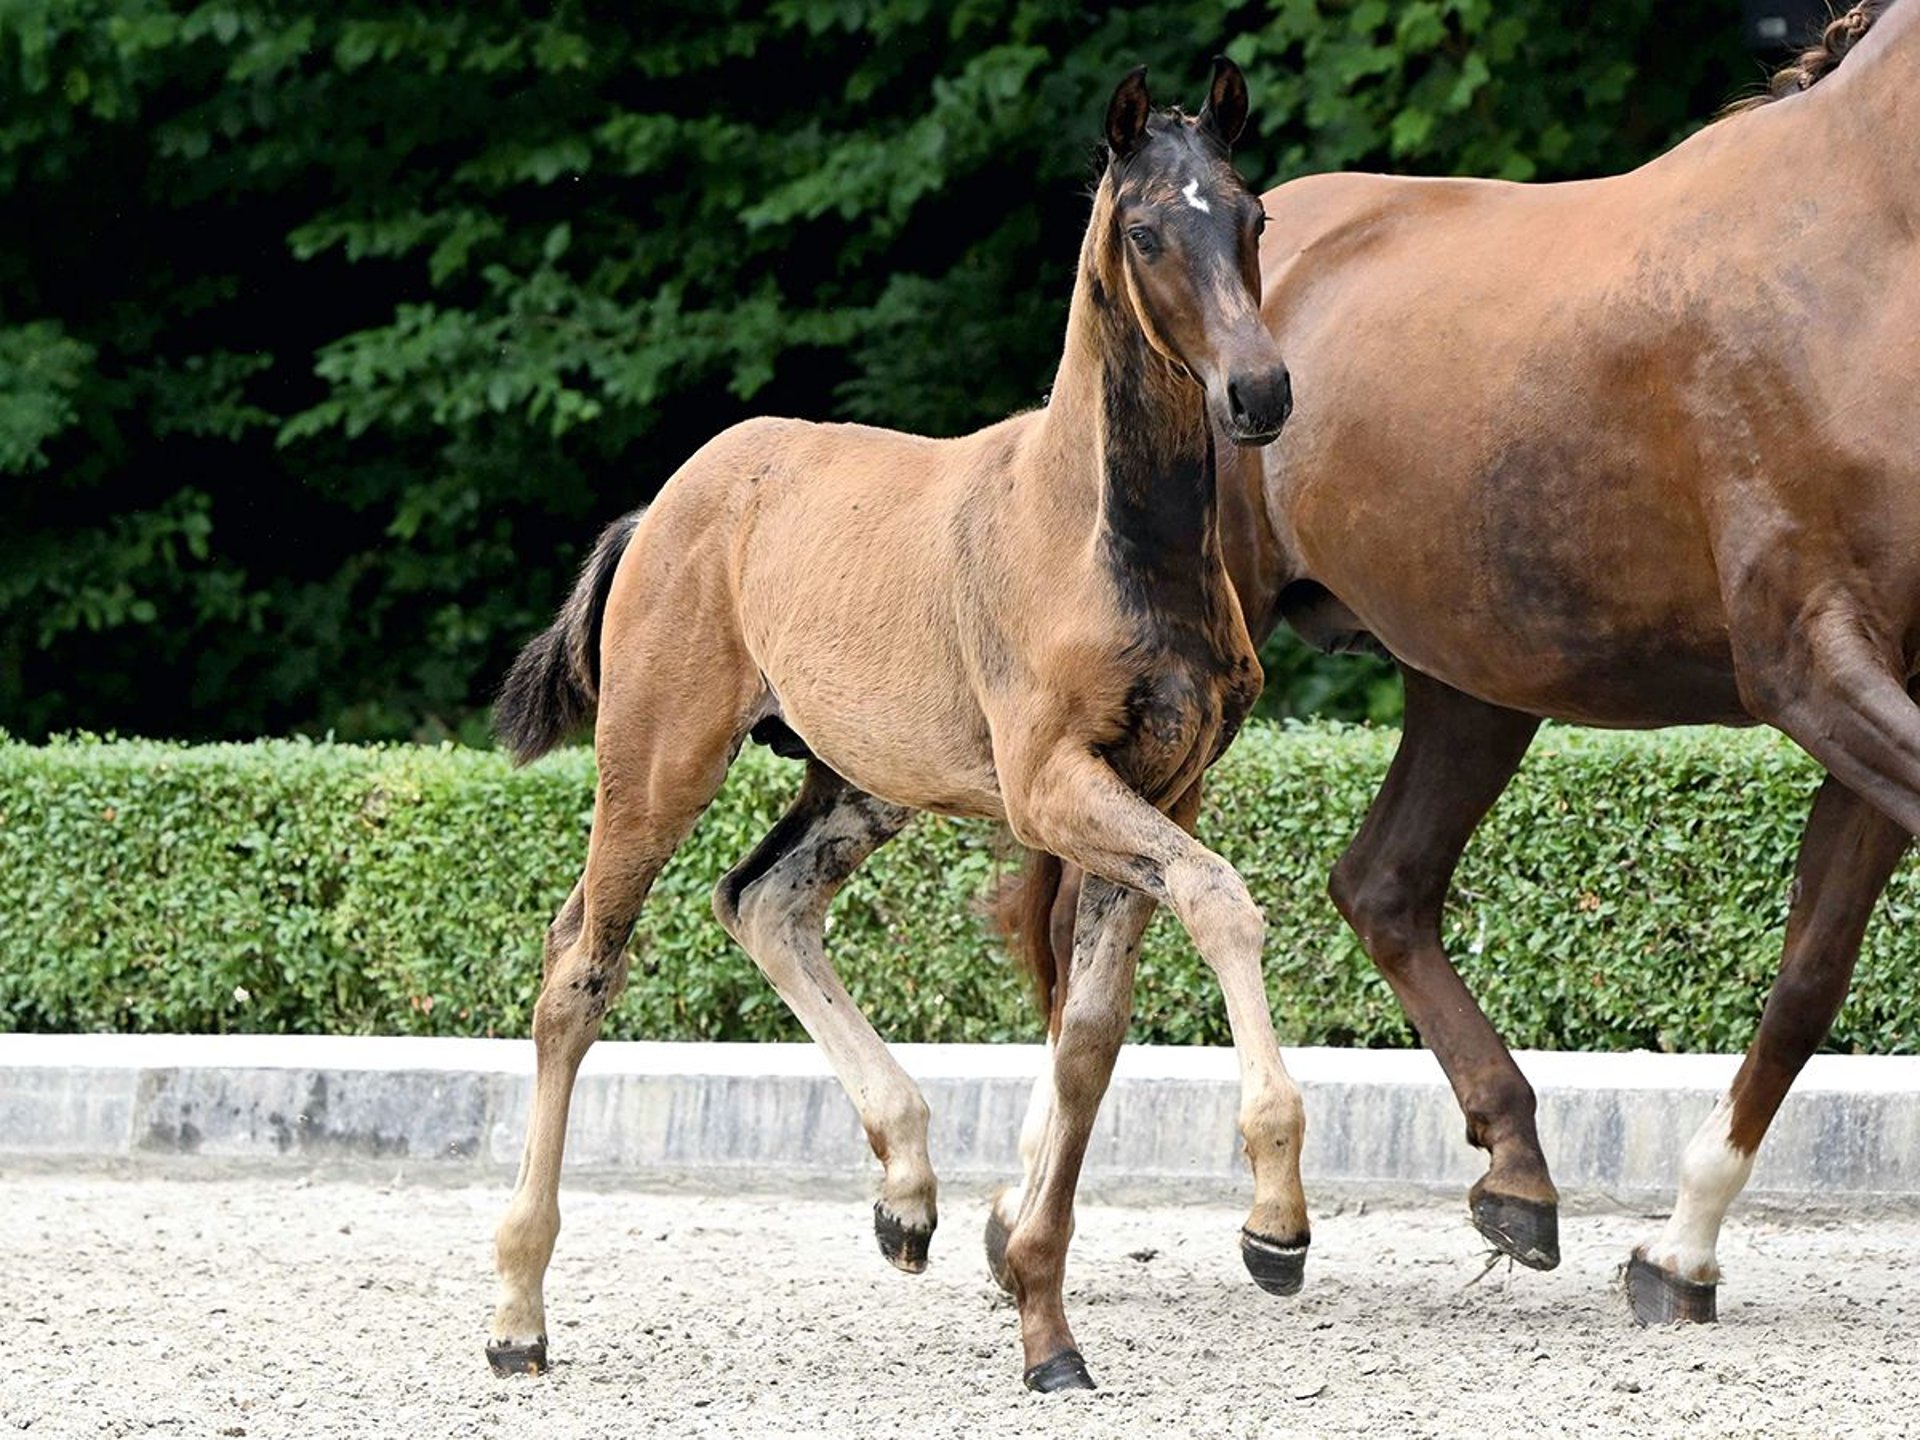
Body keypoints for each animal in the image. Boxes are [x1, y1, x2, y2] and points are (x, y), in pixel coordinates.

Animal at [483, 61, 1300, 1392]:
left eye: (1254, 216)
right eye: (1143, 231)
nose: (1261, 391)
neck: (1112, 538)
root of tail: (663, 506)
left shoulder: (1163, 786)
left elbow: (1090, 1032)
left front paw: (1036, 1292)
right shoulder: (1052, 784)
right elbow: (1220, 900)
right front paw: (1275, 1218)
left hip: (860, 780)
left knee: (762, 901)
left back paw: (908, 1193)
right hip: (658, 759)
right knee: (579, 970)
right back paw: (517, 1312)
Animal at [996, 0, 1920, 1328]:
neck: (1863, 243)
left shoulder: (1881, 680)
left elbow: (1809, 975)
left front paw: (1679, 1253)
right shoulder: (1814, 666)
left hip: (1472, 683)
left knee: (1379, 884)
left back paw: (1515, 1179)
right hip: (1203, 689)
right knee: (1095, 918)